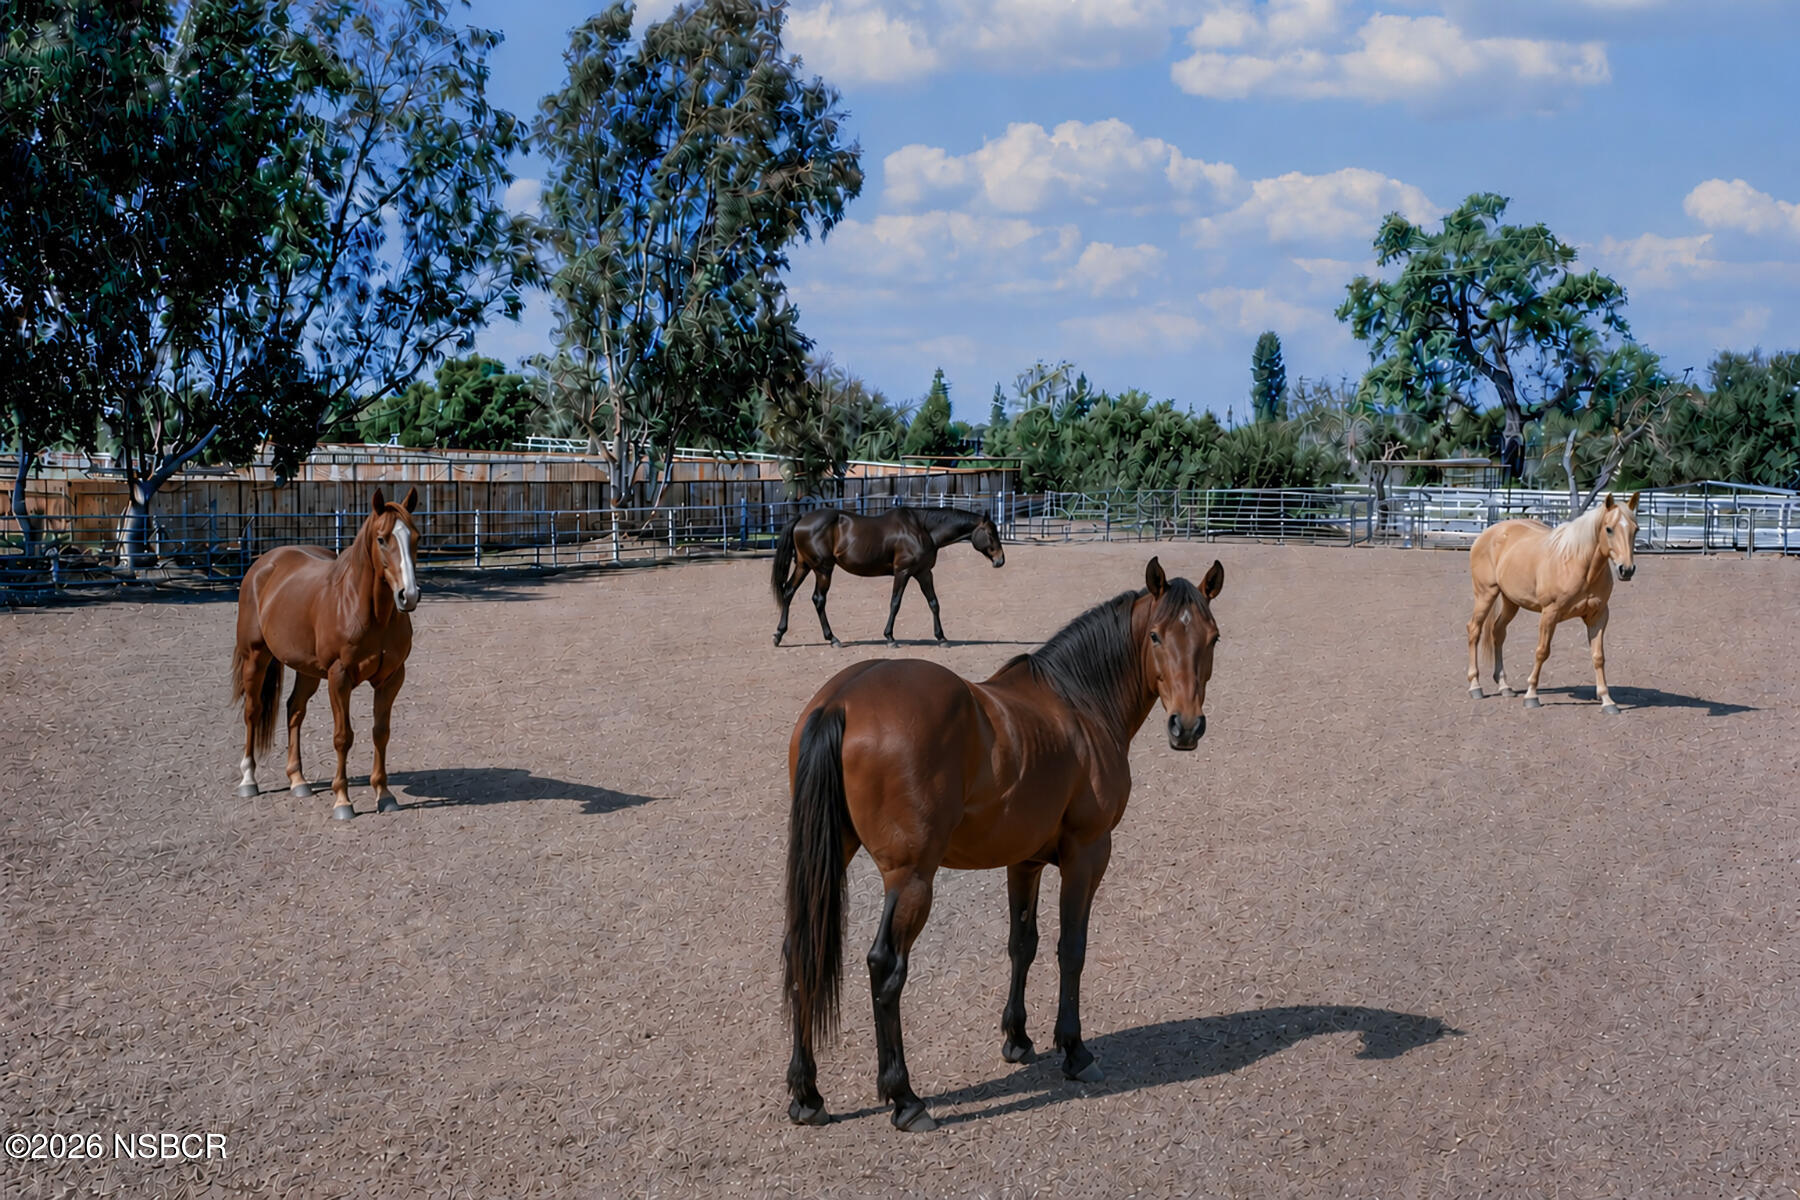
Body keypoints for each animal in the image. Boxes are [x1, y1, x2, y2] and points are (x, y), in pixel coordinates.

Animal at [231, 487, 421, 819]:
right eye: (382, 539)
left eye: (416, 537)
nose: (408, 595)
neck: (367, 609)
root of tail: (263, 564)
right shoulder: (339, 676)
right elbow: (343, 737)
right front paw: (343, 801)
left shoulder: (391, 678)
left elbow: (380, 732)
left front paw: (384, 794)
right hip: (255, 657)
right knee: (252, 711)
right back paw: (248, 780)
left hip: (306, 669)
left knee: (294, 710)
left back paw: (298, 780)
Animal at [770, 505, 1005, 647]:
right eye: (990, 533)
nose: (1000, 560)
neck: (922, 529)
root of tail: (803, 518)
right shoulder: (903, 572)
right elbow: (895, 603)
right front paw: (890, 637)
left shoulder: (923, 573)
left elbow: (933, 603)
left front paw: (942, 637)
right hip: (823, 570)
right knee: (818, 599)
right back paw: (832, 638)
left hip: (804, 566)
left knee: (788, 592)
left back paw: (779, 634)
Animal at [782, 555, 1225, 1132]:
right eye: (1155, 635)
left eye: (1213, 637)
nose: (1186, 727)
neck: (1080, 703)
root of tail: (841, 702)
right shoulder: (1087, 854)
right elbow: (1071, 948)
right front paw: (1074, 1049)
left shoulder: (1026, 861)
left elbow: (1023, 944)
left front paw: (1017, 1038)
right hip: (912, 879)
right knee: (885, 966)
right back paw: (905, 1098)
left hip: (832, 858)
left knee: (801, 951)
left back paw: (806, 1094)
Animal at [1466, 492, 1639, 713]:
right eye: (1609, 529)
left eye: (1636, 529)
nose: (1626, 570)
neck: (1579, 565)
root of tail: (1488, 533)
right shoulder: (1550, 613)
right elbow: (1542, 651)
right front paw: (1531, 695)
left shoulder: (1599, 616)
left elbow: (1598, 657)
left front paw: (1607, 701)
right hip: (1485, 594)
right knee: (1474, 630)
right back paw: (1475, 686)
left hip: (1511, 601)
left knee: (1497, 631)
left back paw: (1504, 686)